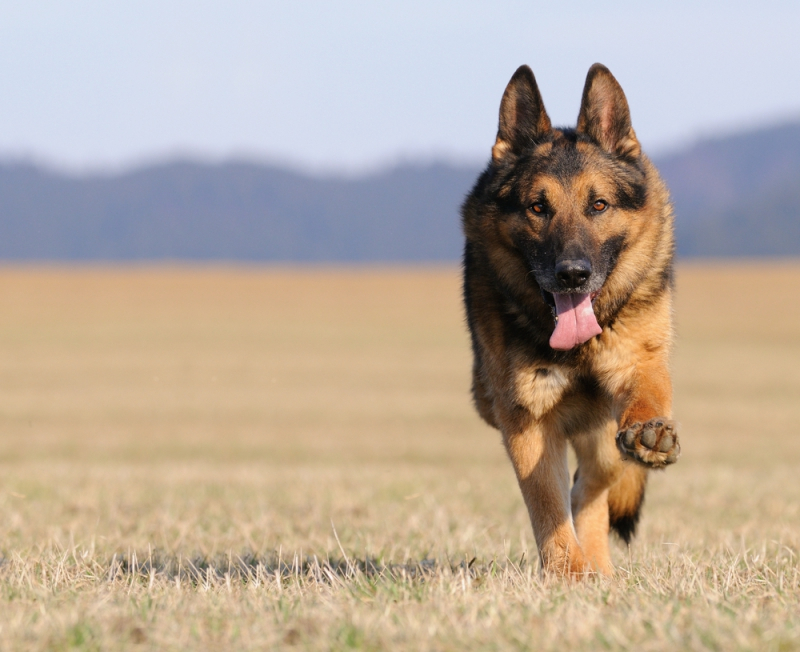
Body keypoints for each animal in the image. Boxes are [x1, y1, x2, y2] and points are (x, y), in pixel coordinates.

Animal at [462, 65, 680, 576]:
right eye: (537, 207)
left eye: (598, 205)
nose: (573, 274)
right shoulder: (526, 417)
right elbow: (546, 503)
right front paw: (568, 575)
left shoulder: (639, 362)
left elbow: (647, 395)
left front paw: (651, 433)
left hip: (603, 444)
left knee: (591, 492)